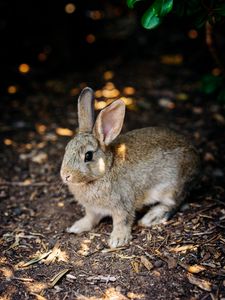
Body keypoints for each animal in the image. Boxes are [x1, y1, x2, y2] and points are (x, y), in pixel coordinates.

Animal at [60, 87, 200, 248]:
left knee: (174, 203)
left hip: (171, 188)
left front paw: (117, 240)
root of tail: (196, 159)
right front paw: (77, 227)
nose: (65, 175)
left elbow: (122, 221)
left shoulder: (123, 205)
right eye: (66, 149)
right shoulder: (92, 210)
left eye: (88, 156)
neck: (105, 169)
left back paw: (152, 217)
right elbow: (90, 218)